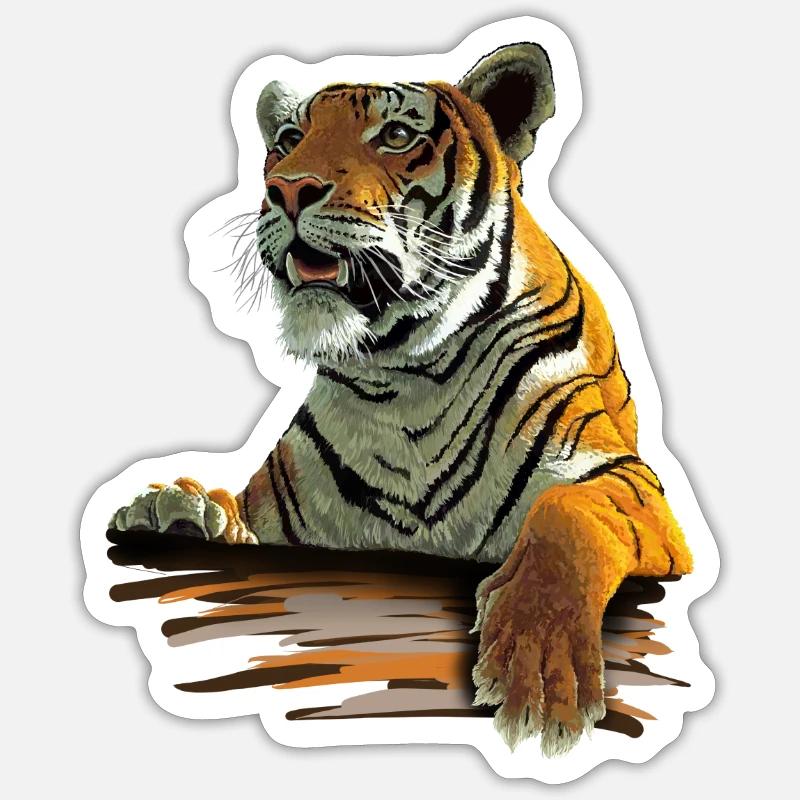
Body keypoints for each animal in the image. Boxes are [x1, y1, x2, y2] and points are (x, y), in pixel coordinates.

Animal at [110, 42, 693, 756]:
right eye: (290, 139)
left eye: (394, 136)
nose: (288, 189)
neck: (403, 381)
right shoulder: (282, 522)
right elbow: (232, 512)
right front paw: (173, 509)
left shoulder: (624, 481)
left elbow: (568, 518)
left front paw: (538, 672)